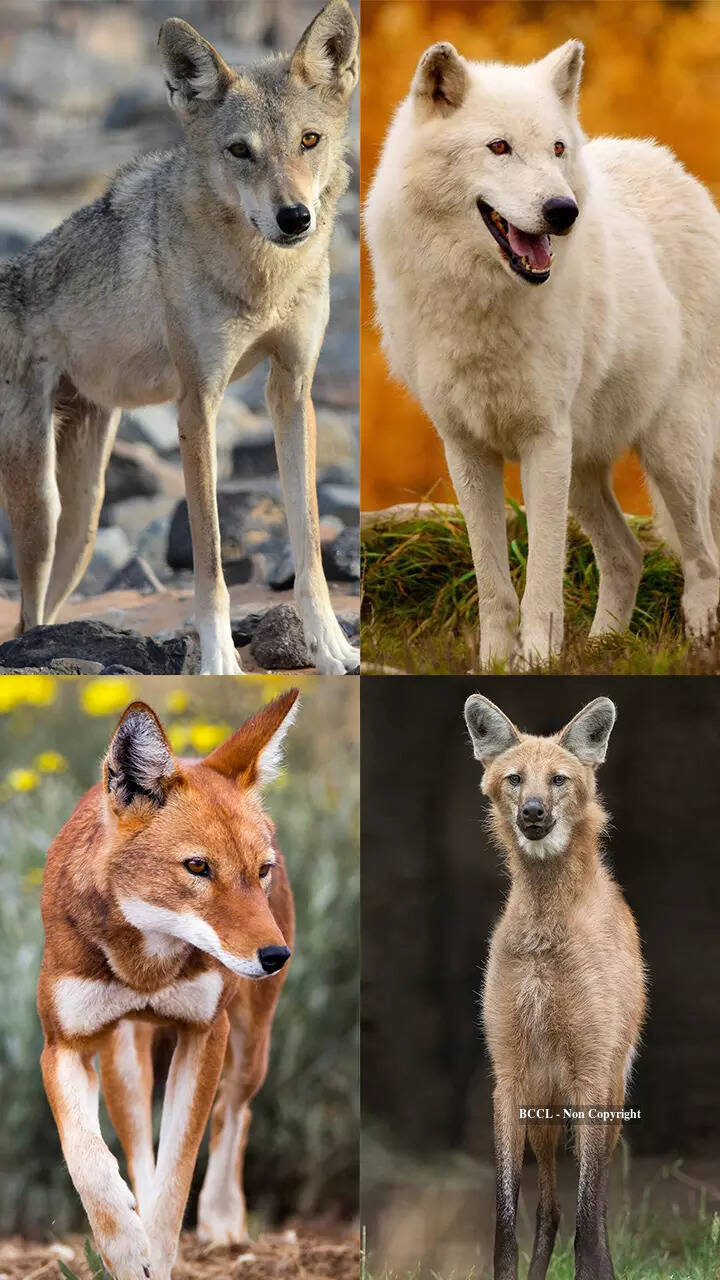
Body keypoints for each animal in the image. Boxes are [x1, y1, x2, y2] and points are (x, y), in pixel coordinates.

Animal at [0, 2, 359, 675]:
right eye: (239, 151)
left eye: (310, 140)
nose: (294, 217)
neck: (261, 276)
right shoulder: (198, 406)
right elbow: (211, 555)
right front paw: (219, 661)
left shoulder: (292, 391)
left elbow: (308, 542)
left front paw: (332, 648)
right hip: (39, 505)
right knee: (25, 615)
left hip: (83, 520)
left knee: (43, 607)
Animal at [37, 692, 300, 1280]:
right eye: (198, 867)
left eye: (262, 871)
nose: (276, 957)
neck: (145, 969)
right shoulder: (63, 1046)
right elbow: (88, 1159)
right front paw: (125, 1249)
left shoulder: (205, 1034)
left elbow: (177, 1178)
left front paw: (155, 1253)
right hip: (123, 1062)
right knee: (138, 1149)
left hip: (250, 1049)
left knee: (233, 1115)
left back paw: (223, 1221)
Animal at [365, 39, 720, 665]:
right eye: (499, 147)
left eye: (556, 148)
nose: (563, 210)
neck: (482, 301)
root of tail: (676, 168)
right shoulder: (467, 451)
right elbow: (494, 587)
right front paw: (496, 662)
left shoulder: (543, 442)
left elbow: (543, 580)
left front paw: (535, 660)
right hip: (585, 468)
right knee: (628, 555)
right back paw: (603, 648)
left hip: (670, 450)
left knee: (703, 563)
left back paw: (698, 647)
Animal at [464, 693, 646, 1280]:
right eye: (516, 780)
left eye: (559, 780)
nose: (533, 813)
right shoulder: (509, 1077)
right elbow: (506, 1226)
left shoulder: (590, 1077)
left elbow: (590, 1223)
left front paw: (597, 1270)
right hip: (542, 1111)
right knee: (549, 1209)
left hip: (608, 1096)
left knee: (595, 1205)